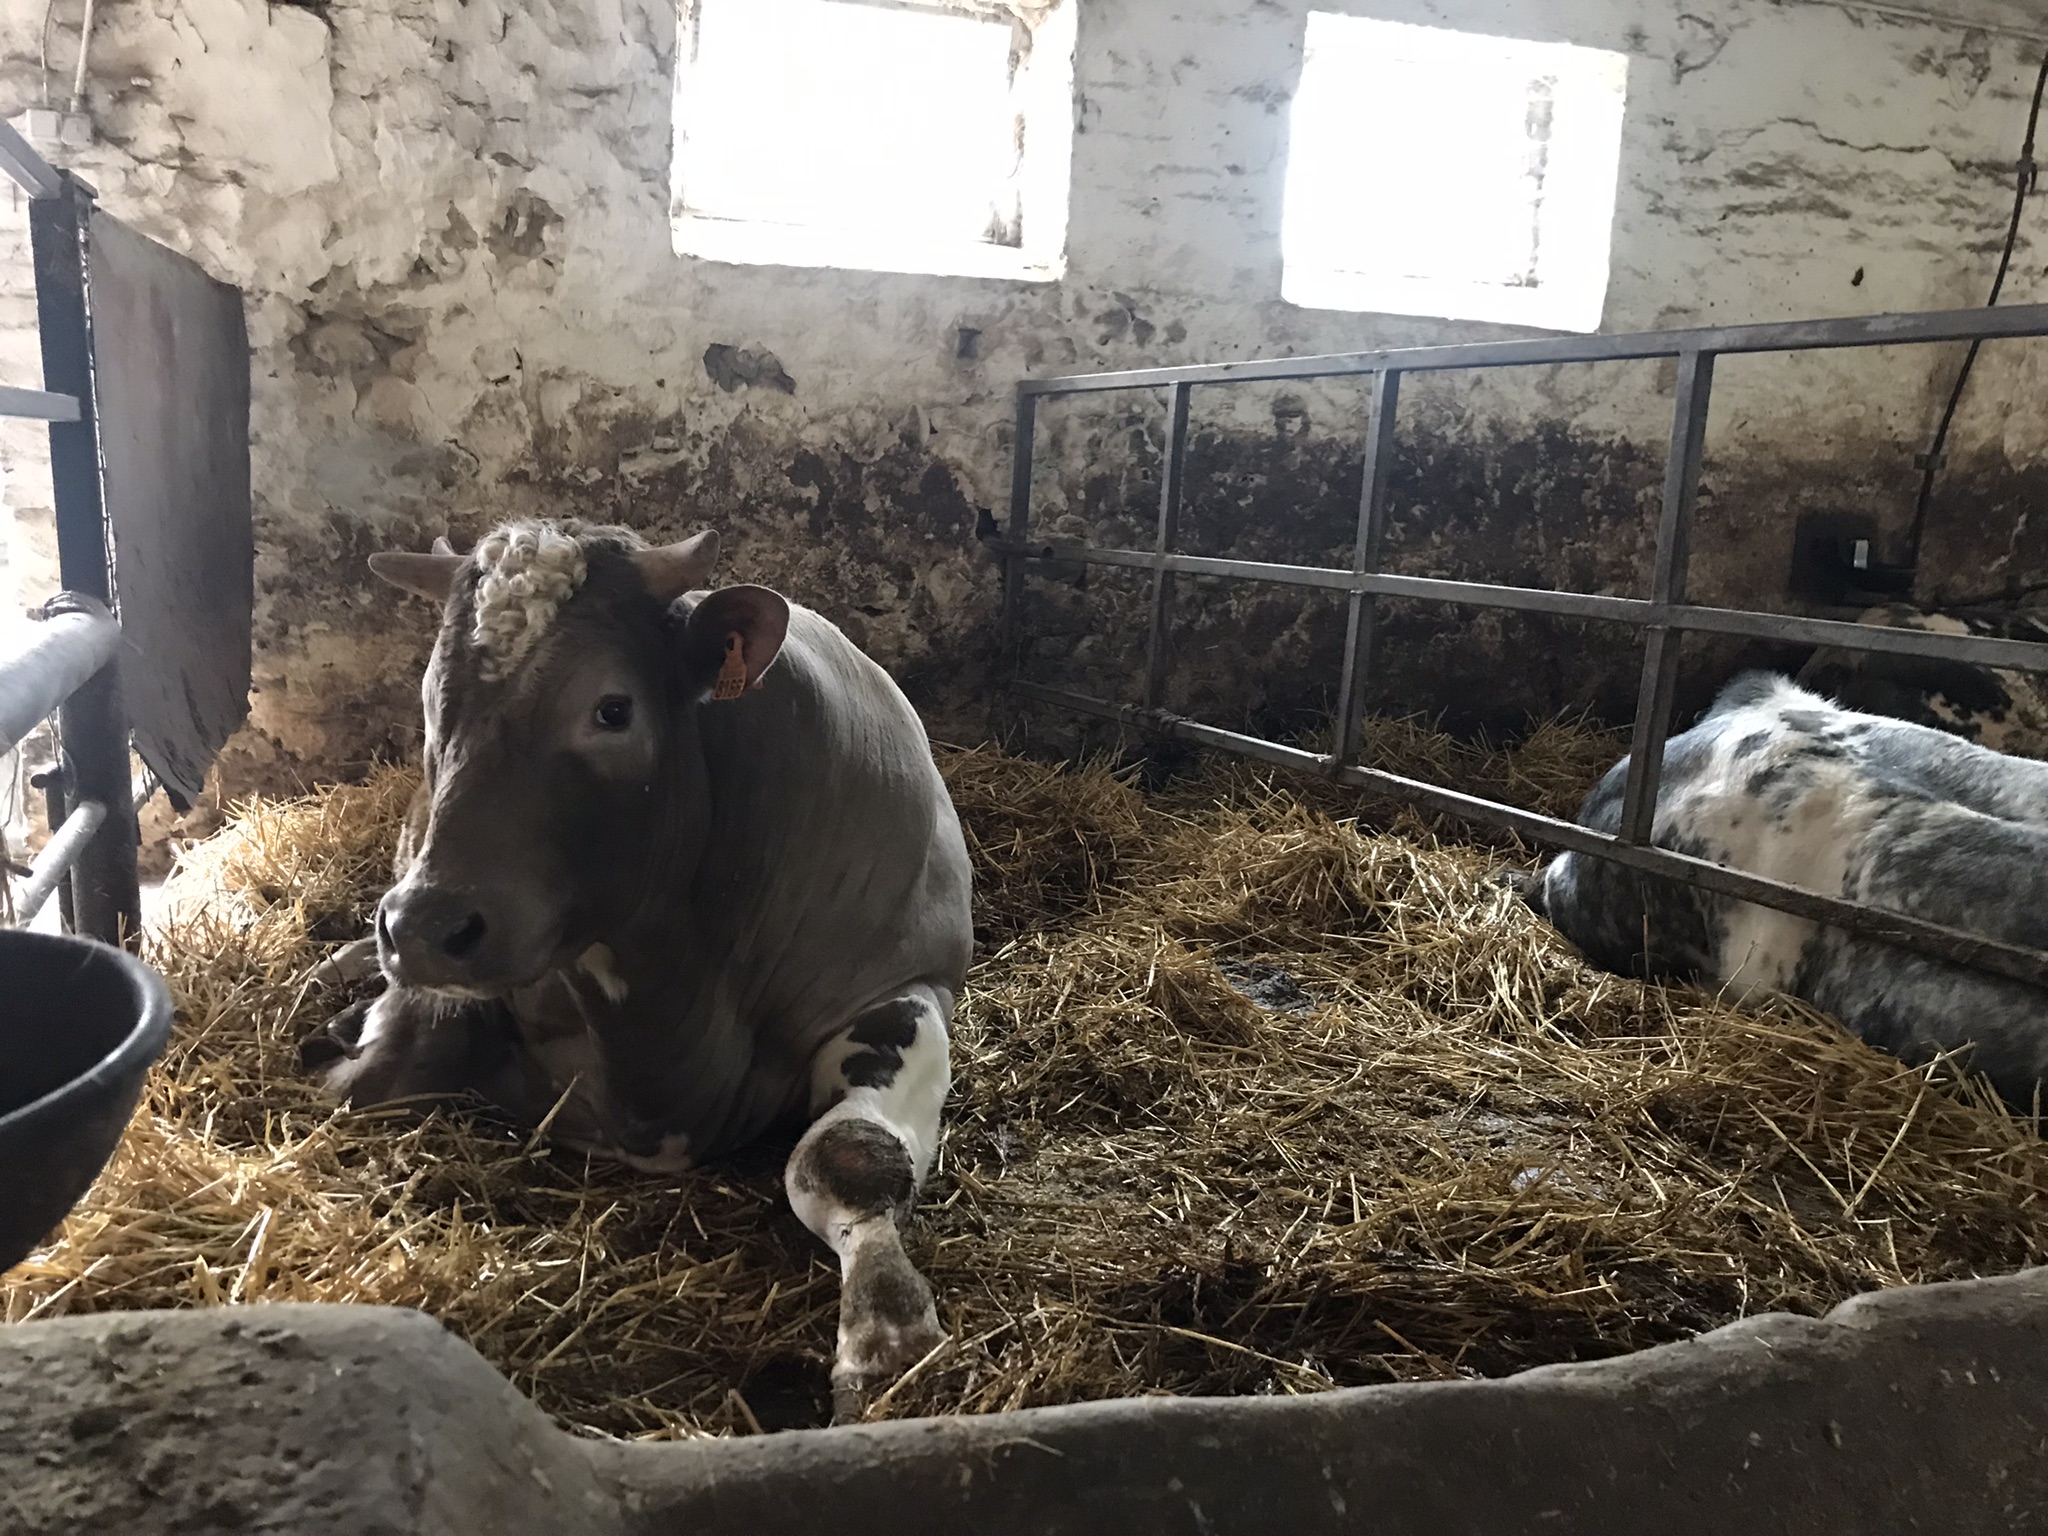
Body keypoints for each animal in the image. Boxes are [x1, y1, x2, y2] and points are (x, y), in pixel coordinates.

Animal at [303, 520, 974, 1417]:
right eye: (430, 702)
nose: (423, 928)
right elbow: (367, 1077)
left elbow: (847, 1157)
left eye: (612, 708)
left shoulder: (905, 983)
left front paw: (886, 1340)